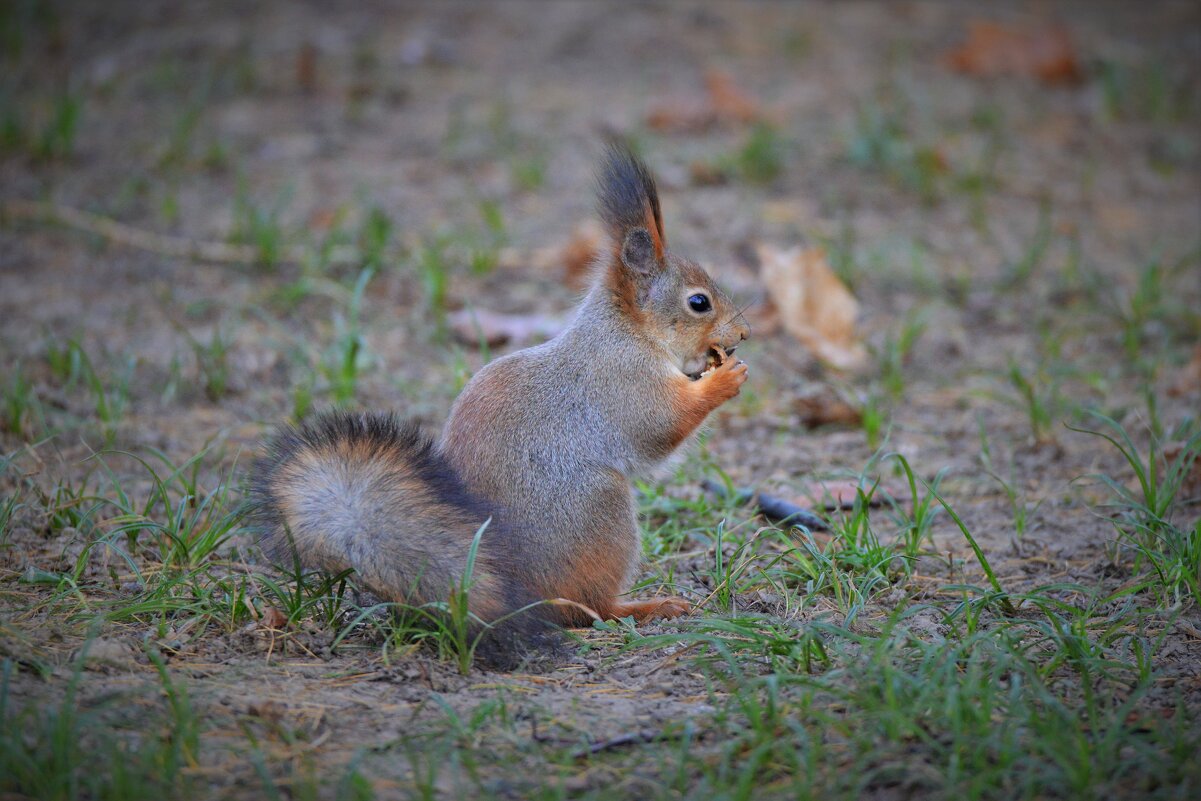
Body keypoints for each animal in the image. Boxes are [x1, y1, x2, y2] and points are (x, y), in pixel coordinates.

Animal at [246, 144, 749, 653]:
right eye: (699, 303)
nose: (744, 334)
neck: (627, 331)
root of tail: (489, 589)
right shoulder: (622, 380)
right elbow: (660, 426)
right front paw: (724, 380)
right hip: (600, 517)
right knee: (587, 607)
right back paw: (645, 607)